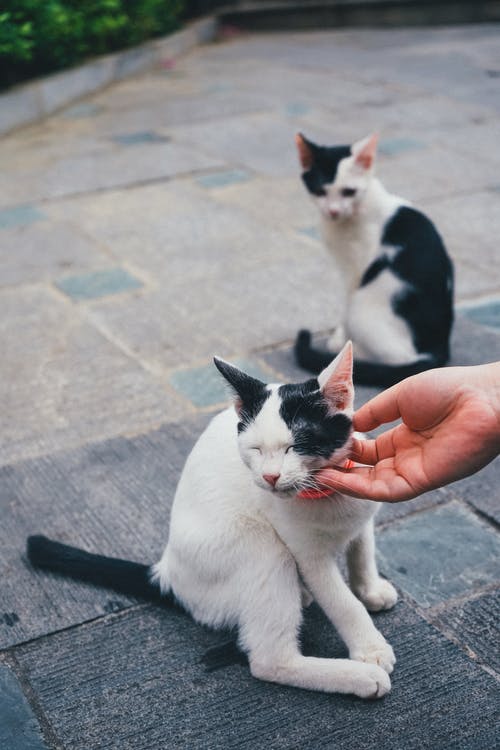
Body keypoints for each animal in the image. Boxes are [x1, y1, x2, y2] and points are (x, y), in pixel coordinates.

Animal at [27, 344, 396, 704]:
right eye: (255, 449)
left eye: (296, 446)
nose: (270, 477)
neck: (324, 495)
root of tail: (168, 571)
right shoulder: (307, 556)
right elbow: (342, 603)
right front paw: (370, 649)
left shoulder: (362, 514)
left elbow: (362, 552)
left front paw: (370, 589)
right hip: (261, 548)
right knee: (268, 660)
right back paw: (356, 677)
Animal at [292, 132, 454, 388]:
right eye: (320, 191)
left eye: (349, 191)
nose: (333, 211)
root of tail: (436, 349)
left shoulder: (356, 269)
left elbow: (345, 303)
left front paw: (341, 342)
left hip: (363, 308)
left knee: (399, 358)